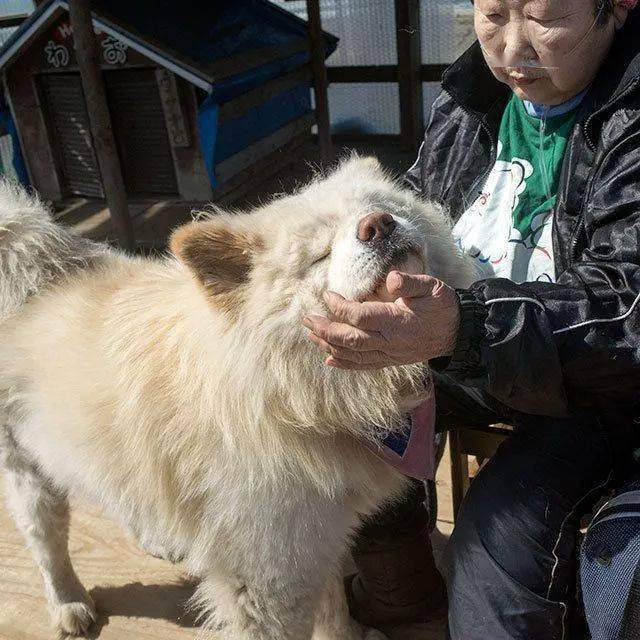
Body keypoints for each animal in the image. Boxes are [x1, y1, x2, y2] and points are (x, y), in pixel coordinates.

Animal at [0, 156, 470, 640]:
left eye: (387, 207)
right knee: (47, 542)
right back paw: (69, 603)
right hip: (28, 472)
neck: (293, 397)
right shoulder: (267, 575)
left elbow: (333, 609)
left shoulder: (318, 540)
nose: (378, 224)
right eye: (319, 255)